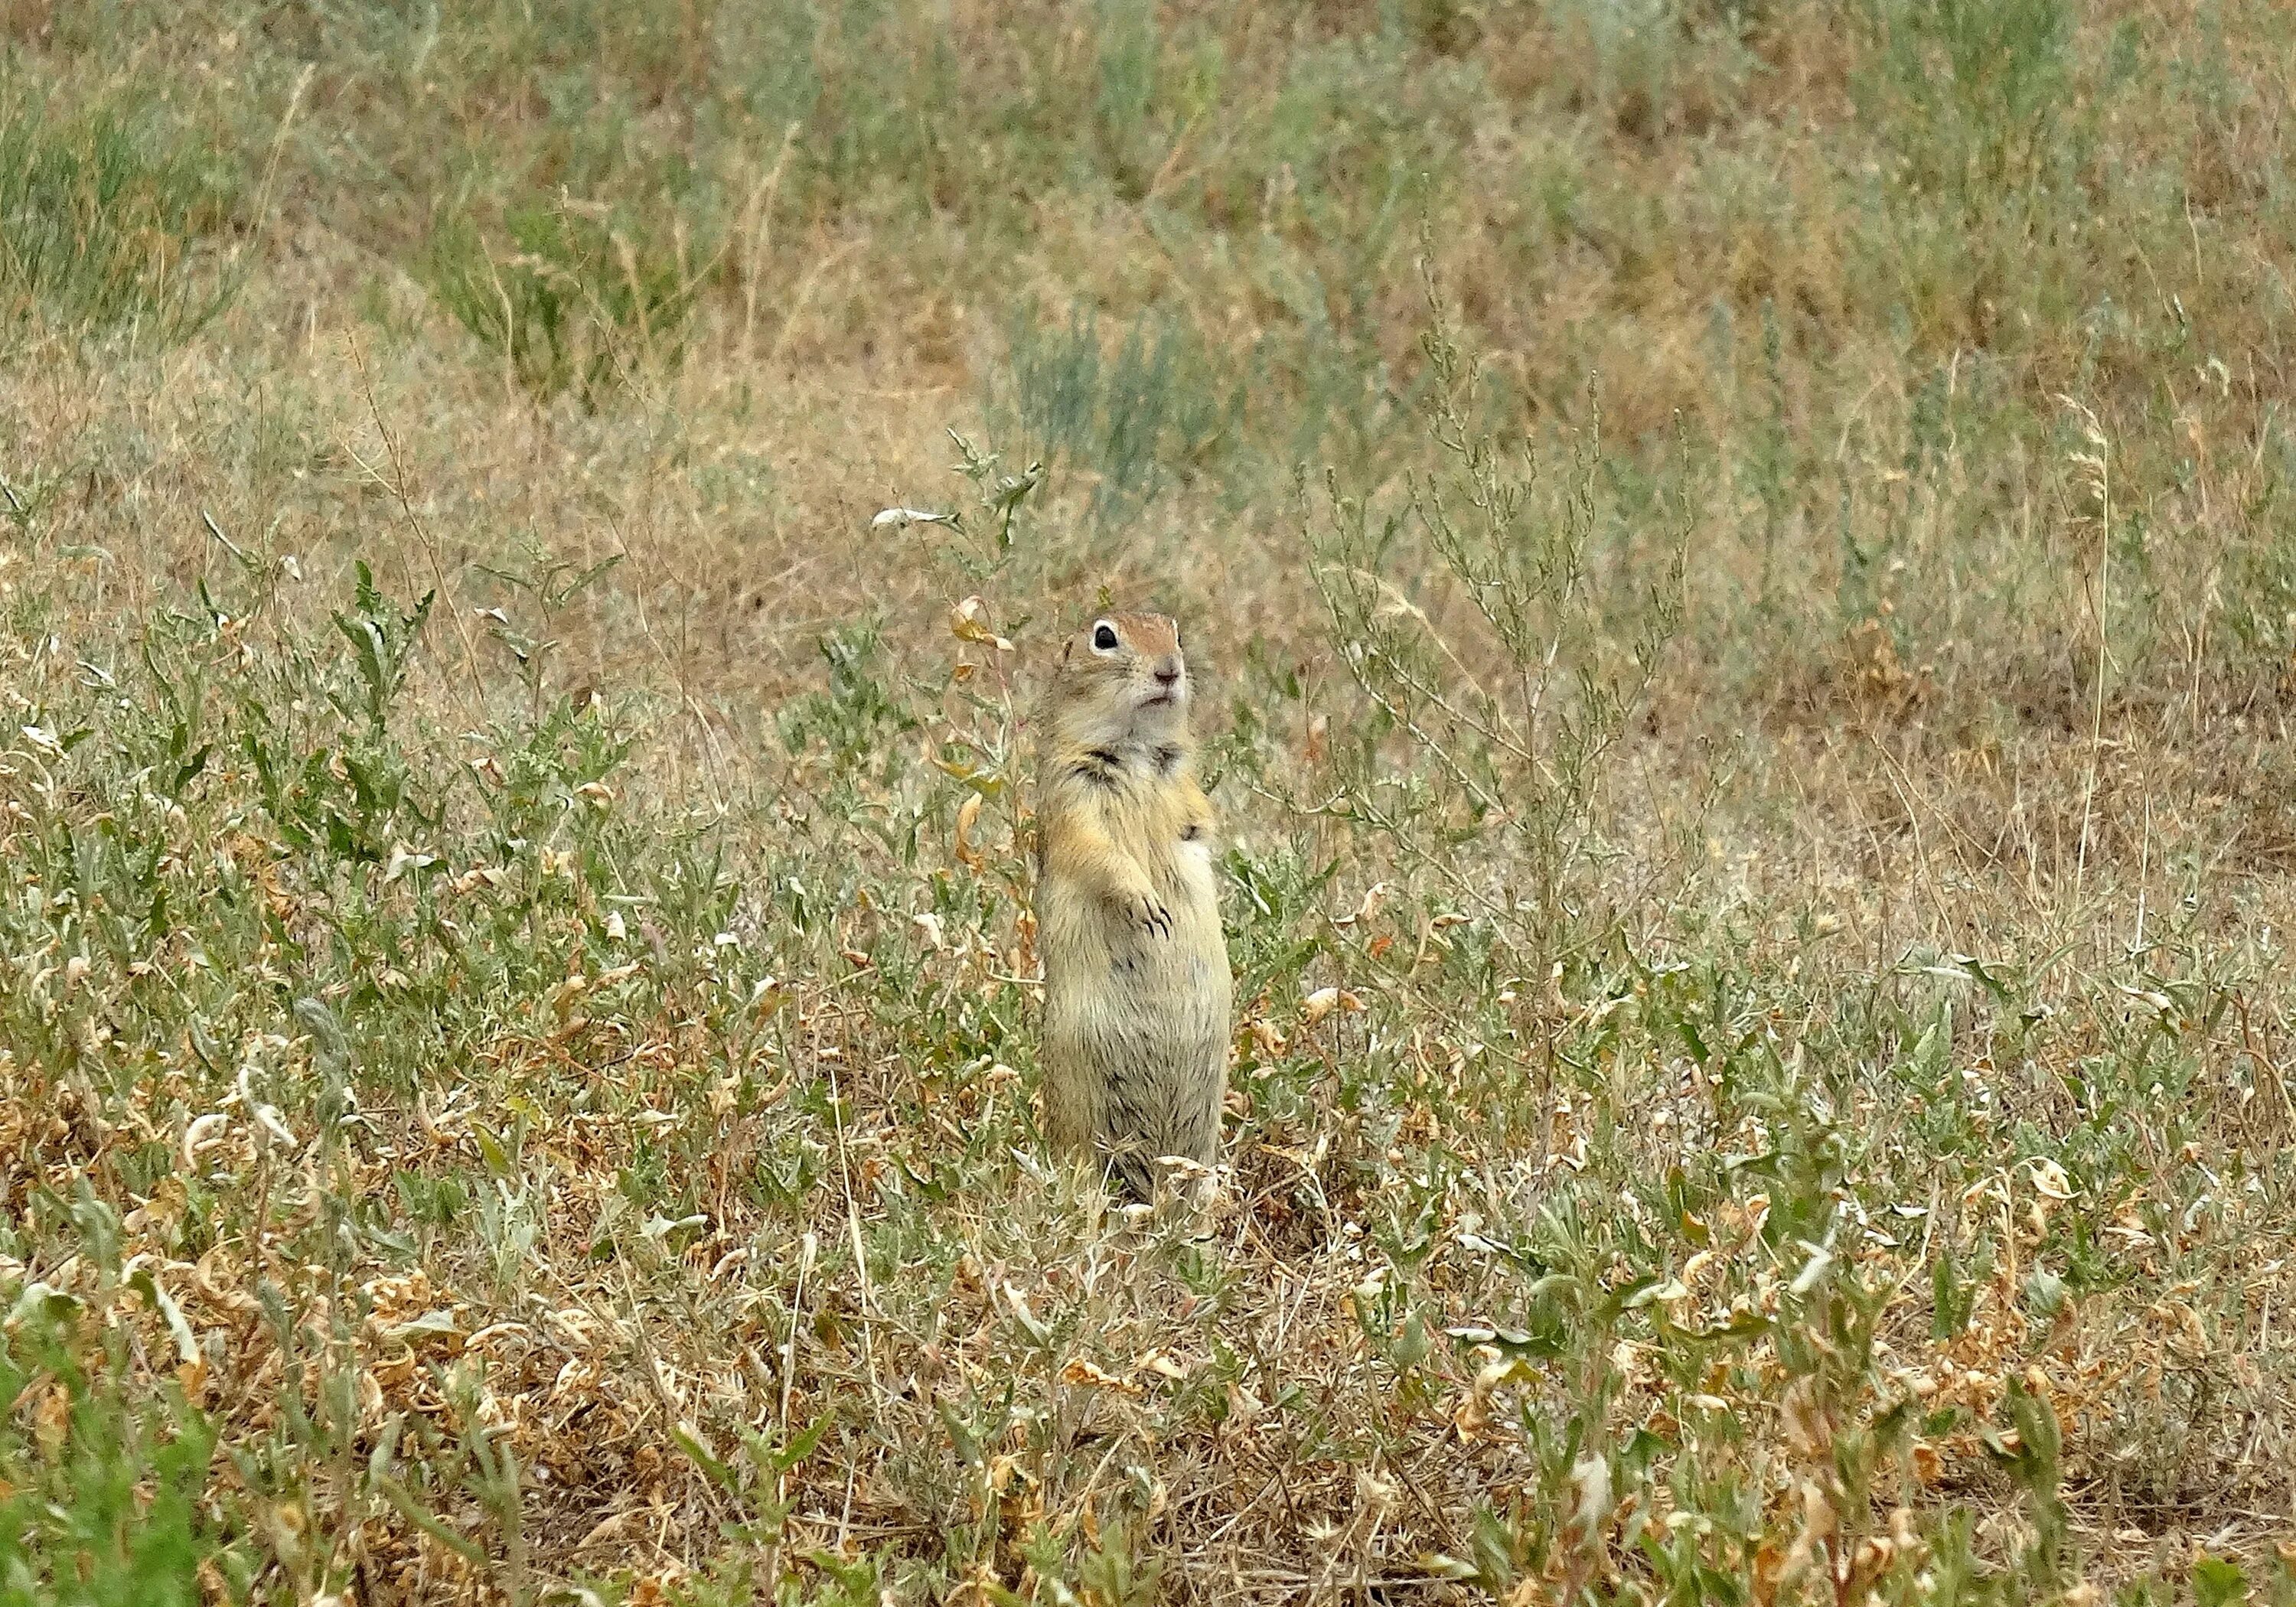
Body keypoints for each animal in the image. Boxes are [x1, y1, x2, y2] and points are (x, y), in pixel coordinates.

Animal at [1033, 611, 1231, 1194]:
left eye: (1177, 634)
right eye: (1104, 637)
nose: (1169, 670)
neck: (1139, 750)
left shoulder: (1186, 790)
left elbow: (1196, 830)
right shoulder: (1073, 797)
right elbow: (1100, 853)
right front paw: (1148, 905)